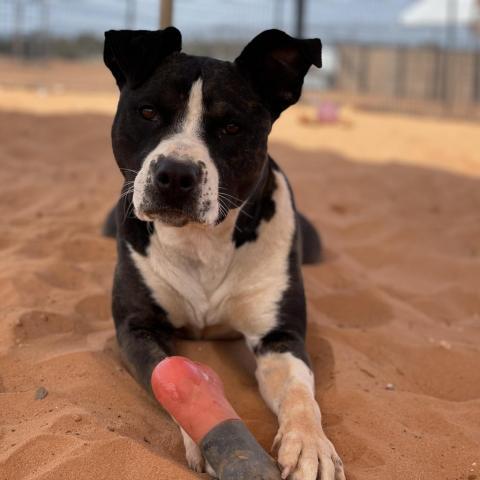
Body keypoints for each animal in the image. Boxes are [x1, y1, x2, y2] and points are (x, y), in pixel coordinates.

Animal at [104, 27, 344, 480]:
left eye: (231, 127)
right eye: (147, 112)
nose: (175, 174)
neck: (202, 242)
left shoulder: (280, 336)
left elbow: (300, 393)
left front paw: (310, 445)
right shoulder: (137, 328)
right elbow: (170, 376)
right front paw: (207, 434)